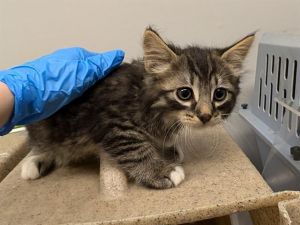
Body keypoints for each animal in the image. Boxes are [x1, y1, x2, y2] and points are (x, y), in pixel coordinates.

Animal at [21, 27, 254, 189]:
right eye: (185, 93)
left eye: (219, 94)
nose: (206, 116)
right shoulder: (111, 121)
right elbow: (134, 147)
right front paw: (159, 171)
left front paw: (167, 149)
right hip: (45, 121)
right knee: (41, 143)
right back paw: (34, 161)